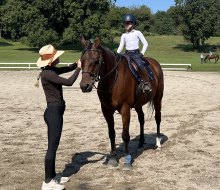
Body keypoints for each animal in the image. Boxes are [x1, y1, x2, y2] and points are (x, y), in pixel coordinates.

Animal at [79, 37, 163, 169]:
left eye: (96, 61)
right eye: (82, 60)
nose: (84, 86)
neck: (112, 79)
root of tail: (155, 64)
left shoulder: (125, 108)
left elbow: (125, 135)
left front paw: (127, 160)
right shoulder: (106, 110)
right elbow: (111, 133)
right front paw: (113, 157)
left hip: (158, 98)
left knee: (158, 118)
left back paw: (158, 143)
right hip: (138, 104)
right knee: (141, 119)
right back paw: (140, 144)